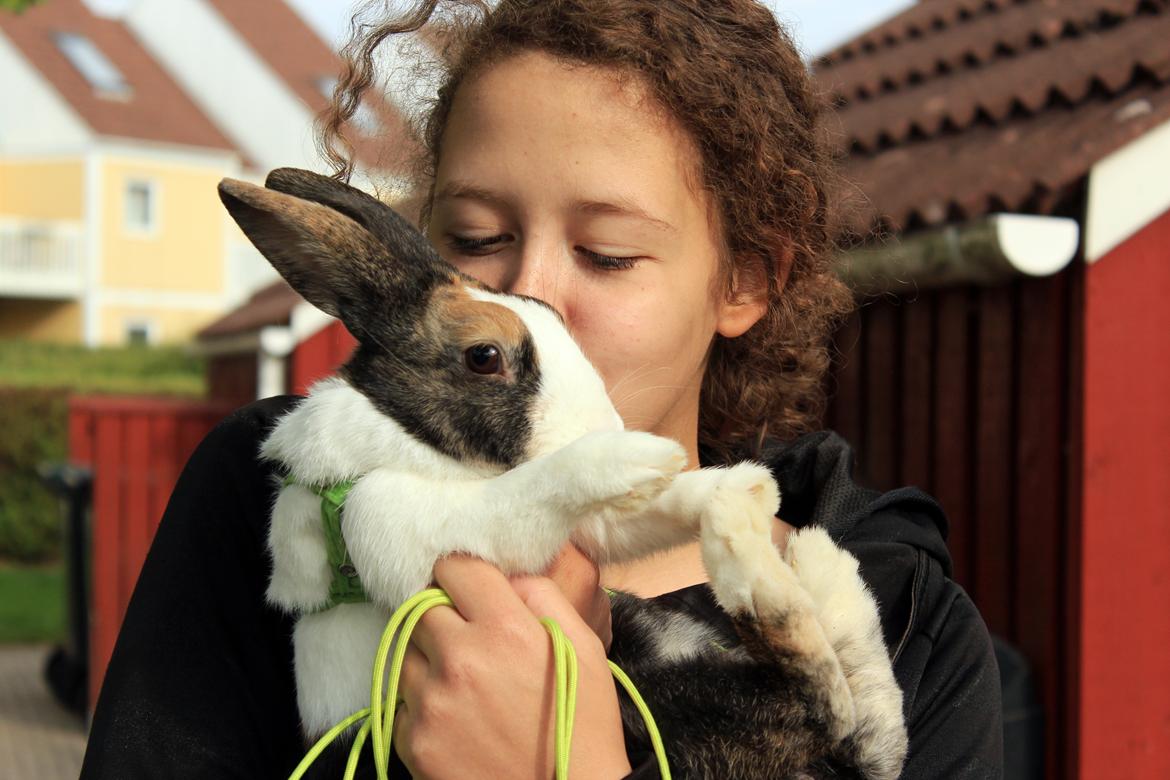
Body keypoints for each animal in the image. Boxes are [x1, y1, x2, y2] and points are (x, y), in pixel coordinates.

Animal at [219, 168, 907, 776]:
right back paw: (777, 557)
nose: (607, 426)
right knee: (818, 698)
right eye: (484, 356)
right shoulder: (398, 526)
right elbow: (531, 490)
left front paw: (732, 482)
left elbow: (652, 509)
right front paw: (643, 458)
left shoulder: (592, 531)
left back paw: (809, 556)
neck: (411, 440)